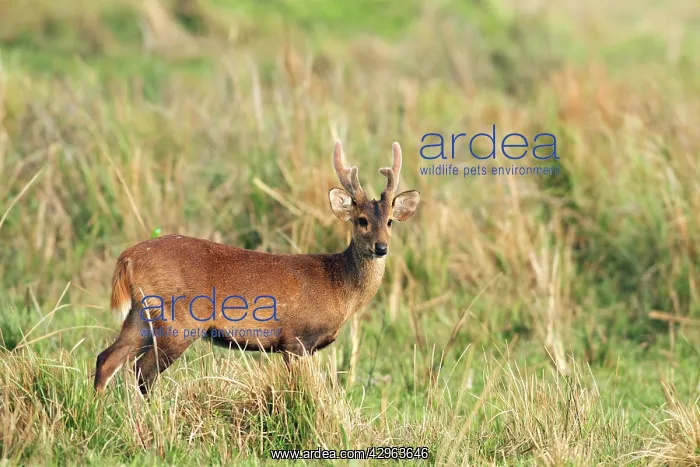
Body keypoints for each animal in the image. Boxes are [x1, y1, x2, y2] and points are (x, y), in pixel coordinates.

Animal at [94, 141, 421, 395]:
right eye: (361, 220)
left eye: (390, 221)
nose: (381, 247)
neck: (337, 284)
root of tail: (127, 257)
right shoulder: (296, 339)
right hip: (178, 320)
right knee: (142, 370)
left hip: (140, 314)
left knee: (106, 359)